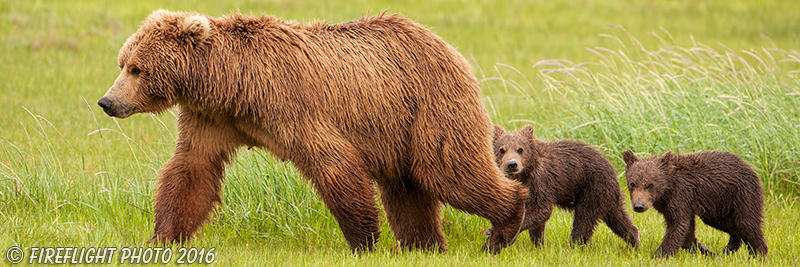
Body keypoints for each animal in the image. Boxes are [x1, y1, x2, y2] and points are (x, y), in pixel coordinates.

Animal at [97, 9, 528, 253]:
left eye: (136, 68)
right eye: (123, 62)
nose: (108, 101)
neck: (231, 84)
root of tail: (445, 44)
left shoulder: (293, 106)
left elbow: (334, 163)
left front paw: (362, 240)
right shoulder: (212, 119)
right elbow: (191, 170)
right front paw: (161, 237)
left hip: (430, 108)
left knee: (449, 172)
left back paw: (504, 225)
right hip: (399, 131)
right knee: (408, 188)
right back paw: (422, 245)